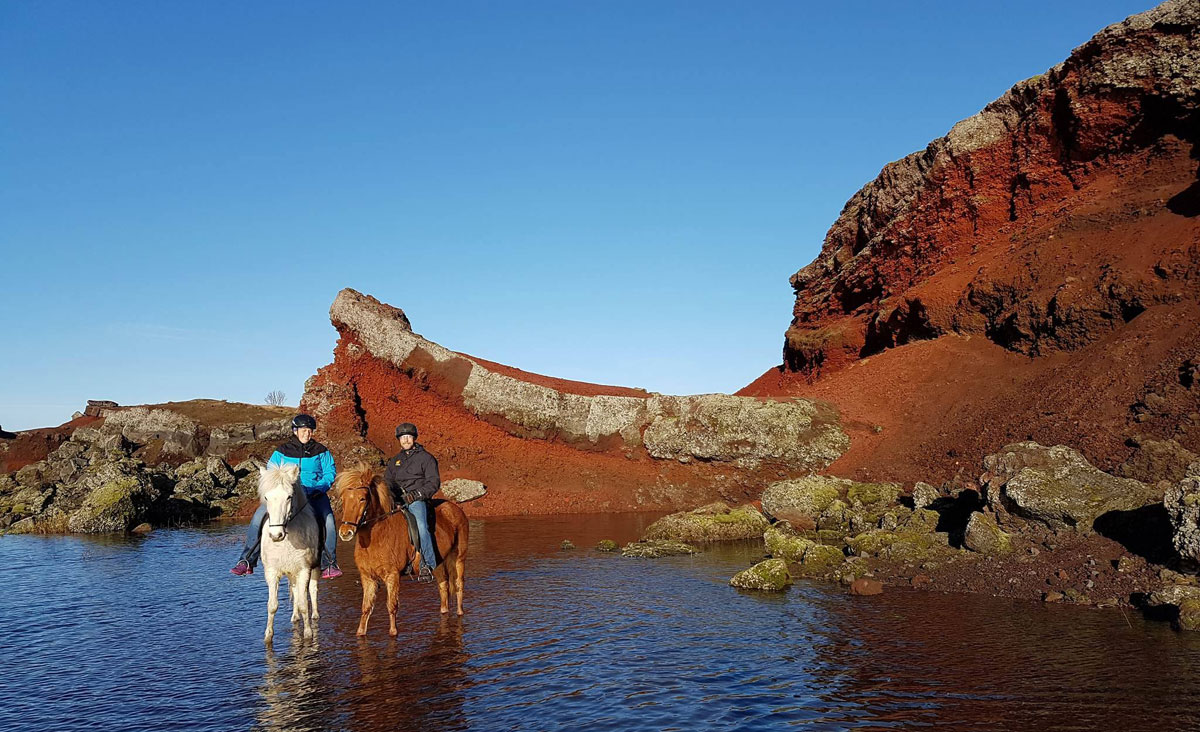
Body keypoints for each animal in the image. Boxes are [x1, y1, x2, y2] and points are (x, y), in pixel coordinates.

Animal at [259, 465, 321, 643]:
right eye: (266, 497)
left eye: (289, 497)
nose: (276, 535)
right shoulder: (272, 572)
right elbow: (272, 605)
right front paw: (268, 636)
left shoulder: (304, 570)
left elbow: (304, 603)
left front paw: (308, 634)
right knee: (295, 591)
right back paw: (295, 617)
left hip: (315, 568)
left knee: (312, 590)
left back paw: (315, 615)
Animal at [336, 465, 470, 633]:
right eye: (344, 499)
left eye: (362, 498)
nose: (345, 532)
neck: (376, 537)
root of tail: (455, 509)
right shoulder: (367, 577)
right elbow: (366, 608)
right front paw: (360, 632)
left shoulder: (392, 575)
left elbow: (392, 607)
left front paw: (393, 632)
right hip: (438, 563)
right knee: (443, 588)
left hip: (458, 559)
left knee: (458, 586)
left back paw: (460, 612)